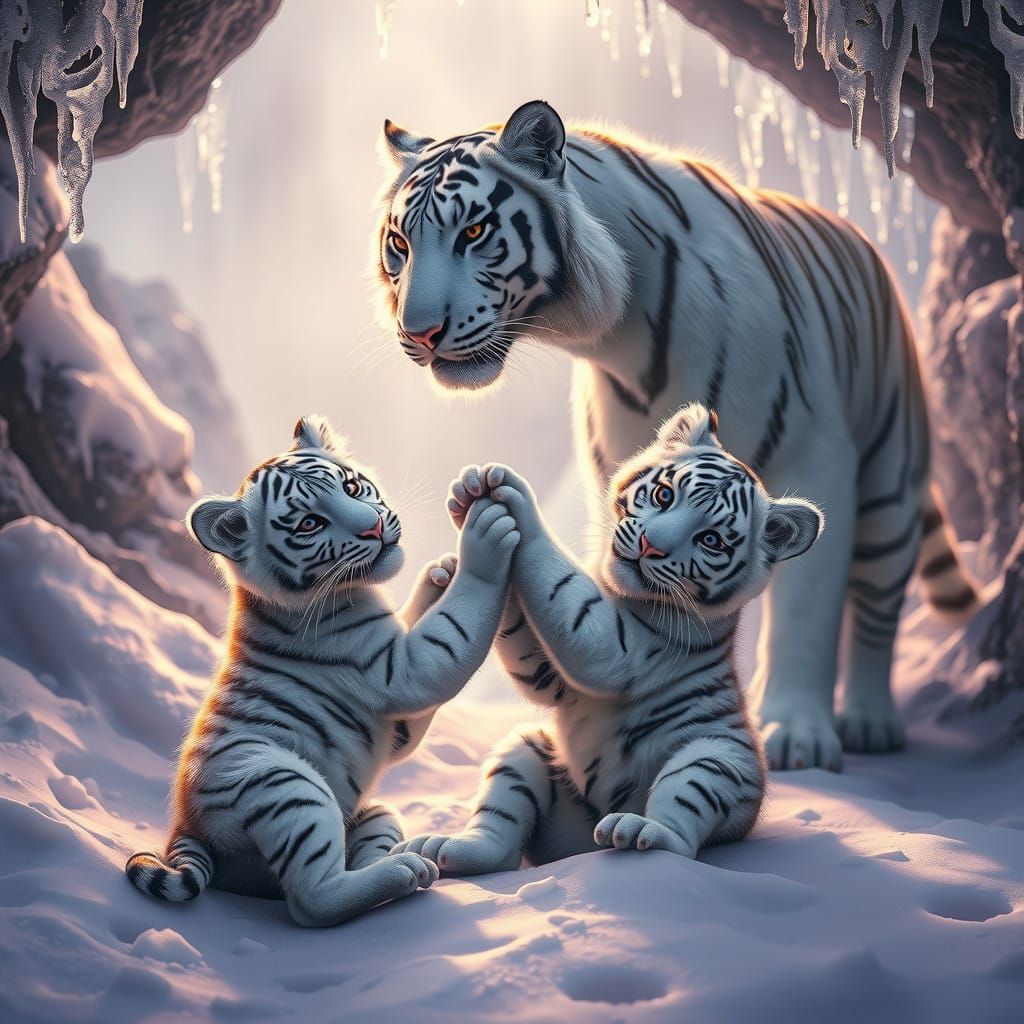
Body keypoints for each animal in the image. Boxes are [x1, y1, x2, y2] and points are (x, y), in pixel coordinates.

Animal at [125, 415, 520, 926]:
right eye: (310, 523)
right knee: (313, 899)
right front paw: (482, 540)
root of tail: (184, 829)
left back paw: (404, 862)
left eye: (351, 487)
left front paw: (440, 572)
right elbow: (455, 624)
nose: (374, 527)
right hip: (282, 783)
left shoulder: (396, 719)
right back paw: (403, 873)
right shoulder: (399, 668)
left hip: (372, 811)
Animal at [373, 99, 979, 772]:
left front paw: (796, 735)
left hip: (890, 478)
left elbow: (806, 608)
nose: (418, 334)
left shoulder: (816, 456)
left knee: (877, 598)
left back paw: (870, 722)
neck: (617, 339)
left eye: (475, 233)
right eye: (399, 244)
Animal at [395, 403, 820, 870]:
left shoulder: (621, 647)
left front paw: (513, 501)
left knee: (681, 830)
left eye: (710, 540)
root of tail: (586, 842)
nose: (652, 545)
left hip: (718, 763)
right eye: (664, 495)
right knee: (502, 838)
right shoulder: (555, 680)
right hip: (526, 751)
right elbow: (531, 651)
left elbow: (559, 583)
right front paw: (466, 510)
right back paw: (450, 848)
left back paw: (639, 831)